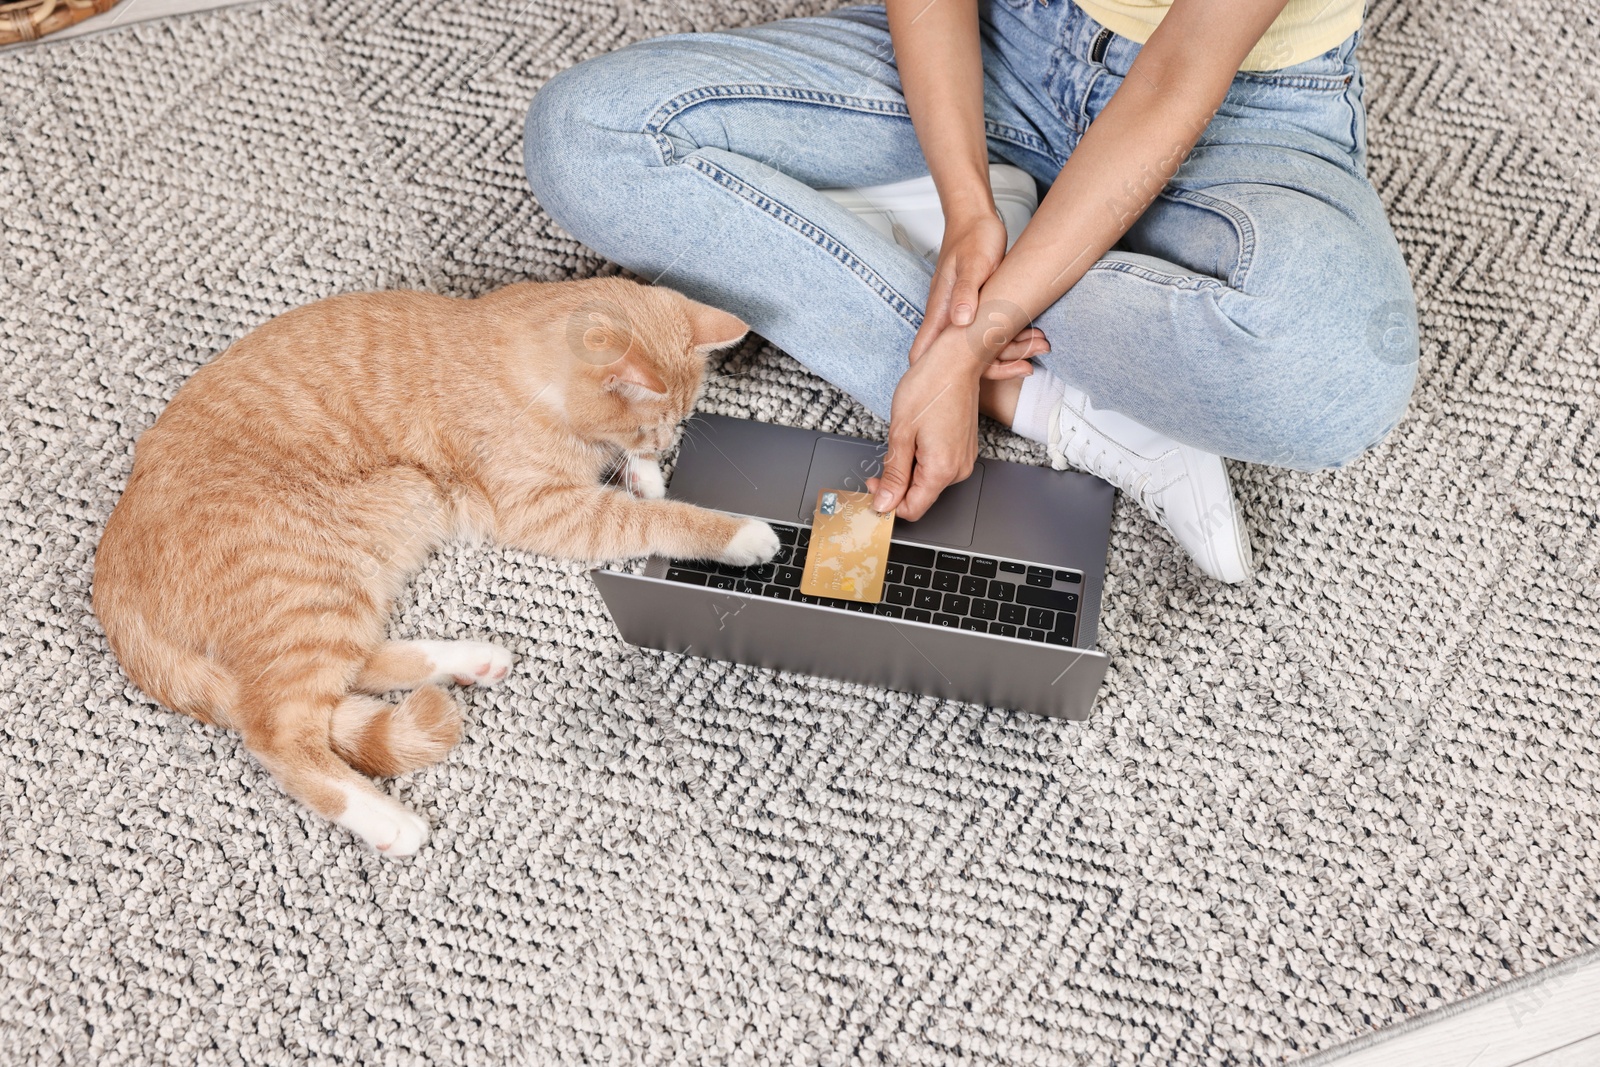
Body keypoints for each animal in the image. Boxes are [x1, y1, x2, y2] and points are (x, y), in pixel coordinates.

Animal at [93, 278, 780, 857]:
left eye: (678, 423)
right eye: (655, 422)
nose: (665, 442)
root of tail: (112, 587)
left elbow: (638, 490)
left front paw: (646, 474)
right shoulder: (547, 511)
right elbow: (655, 519)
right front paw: (733, 529)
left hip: (355, 574)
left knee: (348, 675)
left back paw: (469, 659)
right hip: (313, 586)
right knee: (279, 732)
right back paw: (389, 822)